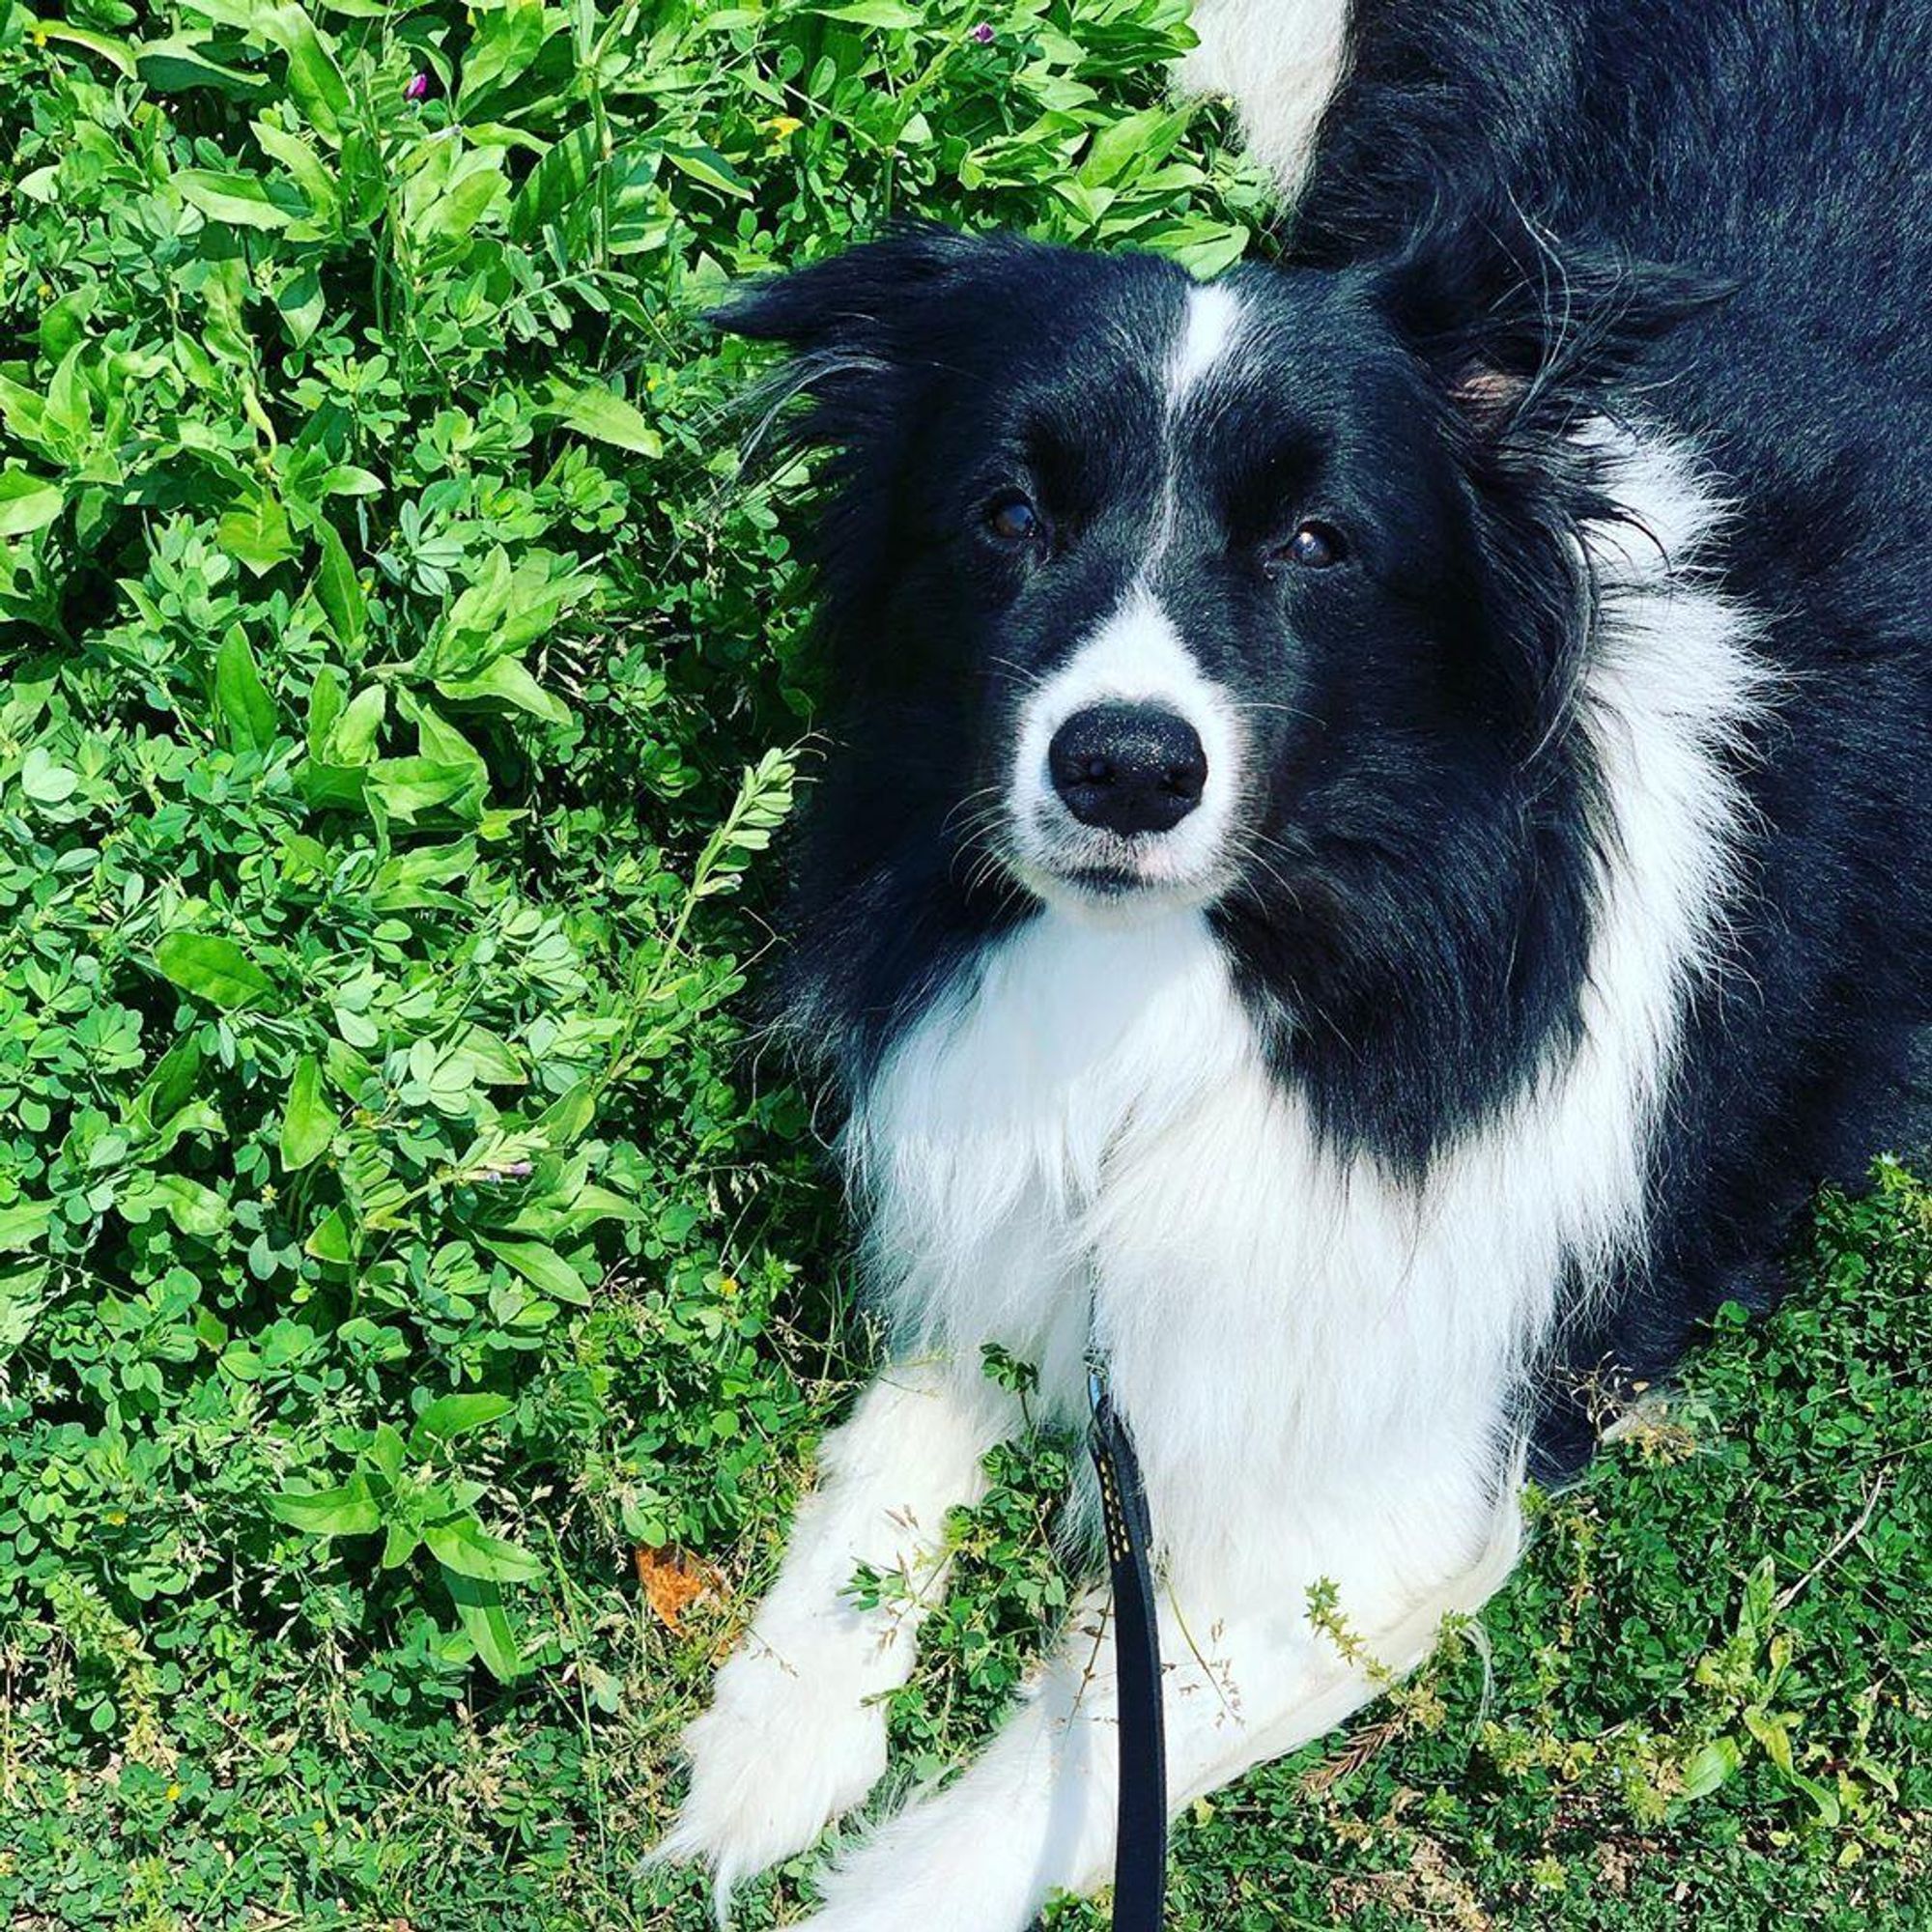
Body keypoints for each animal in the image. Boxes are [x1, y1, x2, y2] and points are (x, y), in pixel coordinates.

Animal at [661, 7, 1917, 1924]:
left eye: (1319, 544)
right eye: (1007, 516)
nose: (1123, 767)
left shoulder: (1391, 1501)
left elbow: (1047, 1785)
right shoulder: (1029, 1210)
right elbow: (911, 1411)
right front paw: (778, 1732)